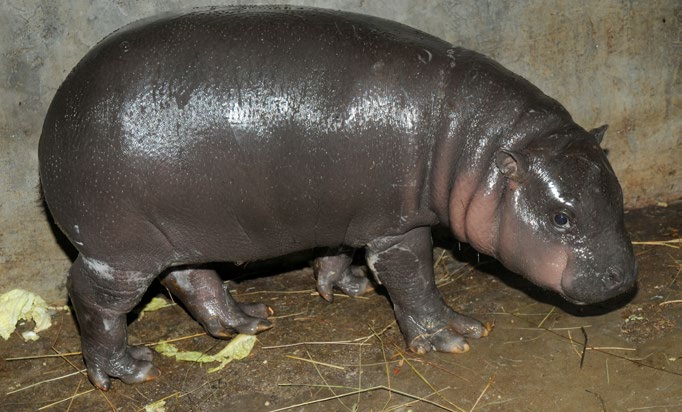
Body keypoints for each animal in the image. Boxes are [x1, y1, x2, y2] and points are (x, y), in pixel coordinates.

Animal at [37, 5, 636, 390]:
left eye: (617, 189)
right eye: (561, 217)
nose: (622, 278)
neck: (479, 146)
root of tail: (56, 114)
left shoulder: (347, 211)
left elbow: (335, 252)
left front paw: (345, 286)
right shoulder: (397, 226)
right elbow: (415, 281)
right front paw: (454, 334)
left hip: (178, 229)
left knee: (191, 277)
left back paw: (248, 320)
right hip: (120, 250)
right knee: (93, 299)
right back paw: (128, 370)